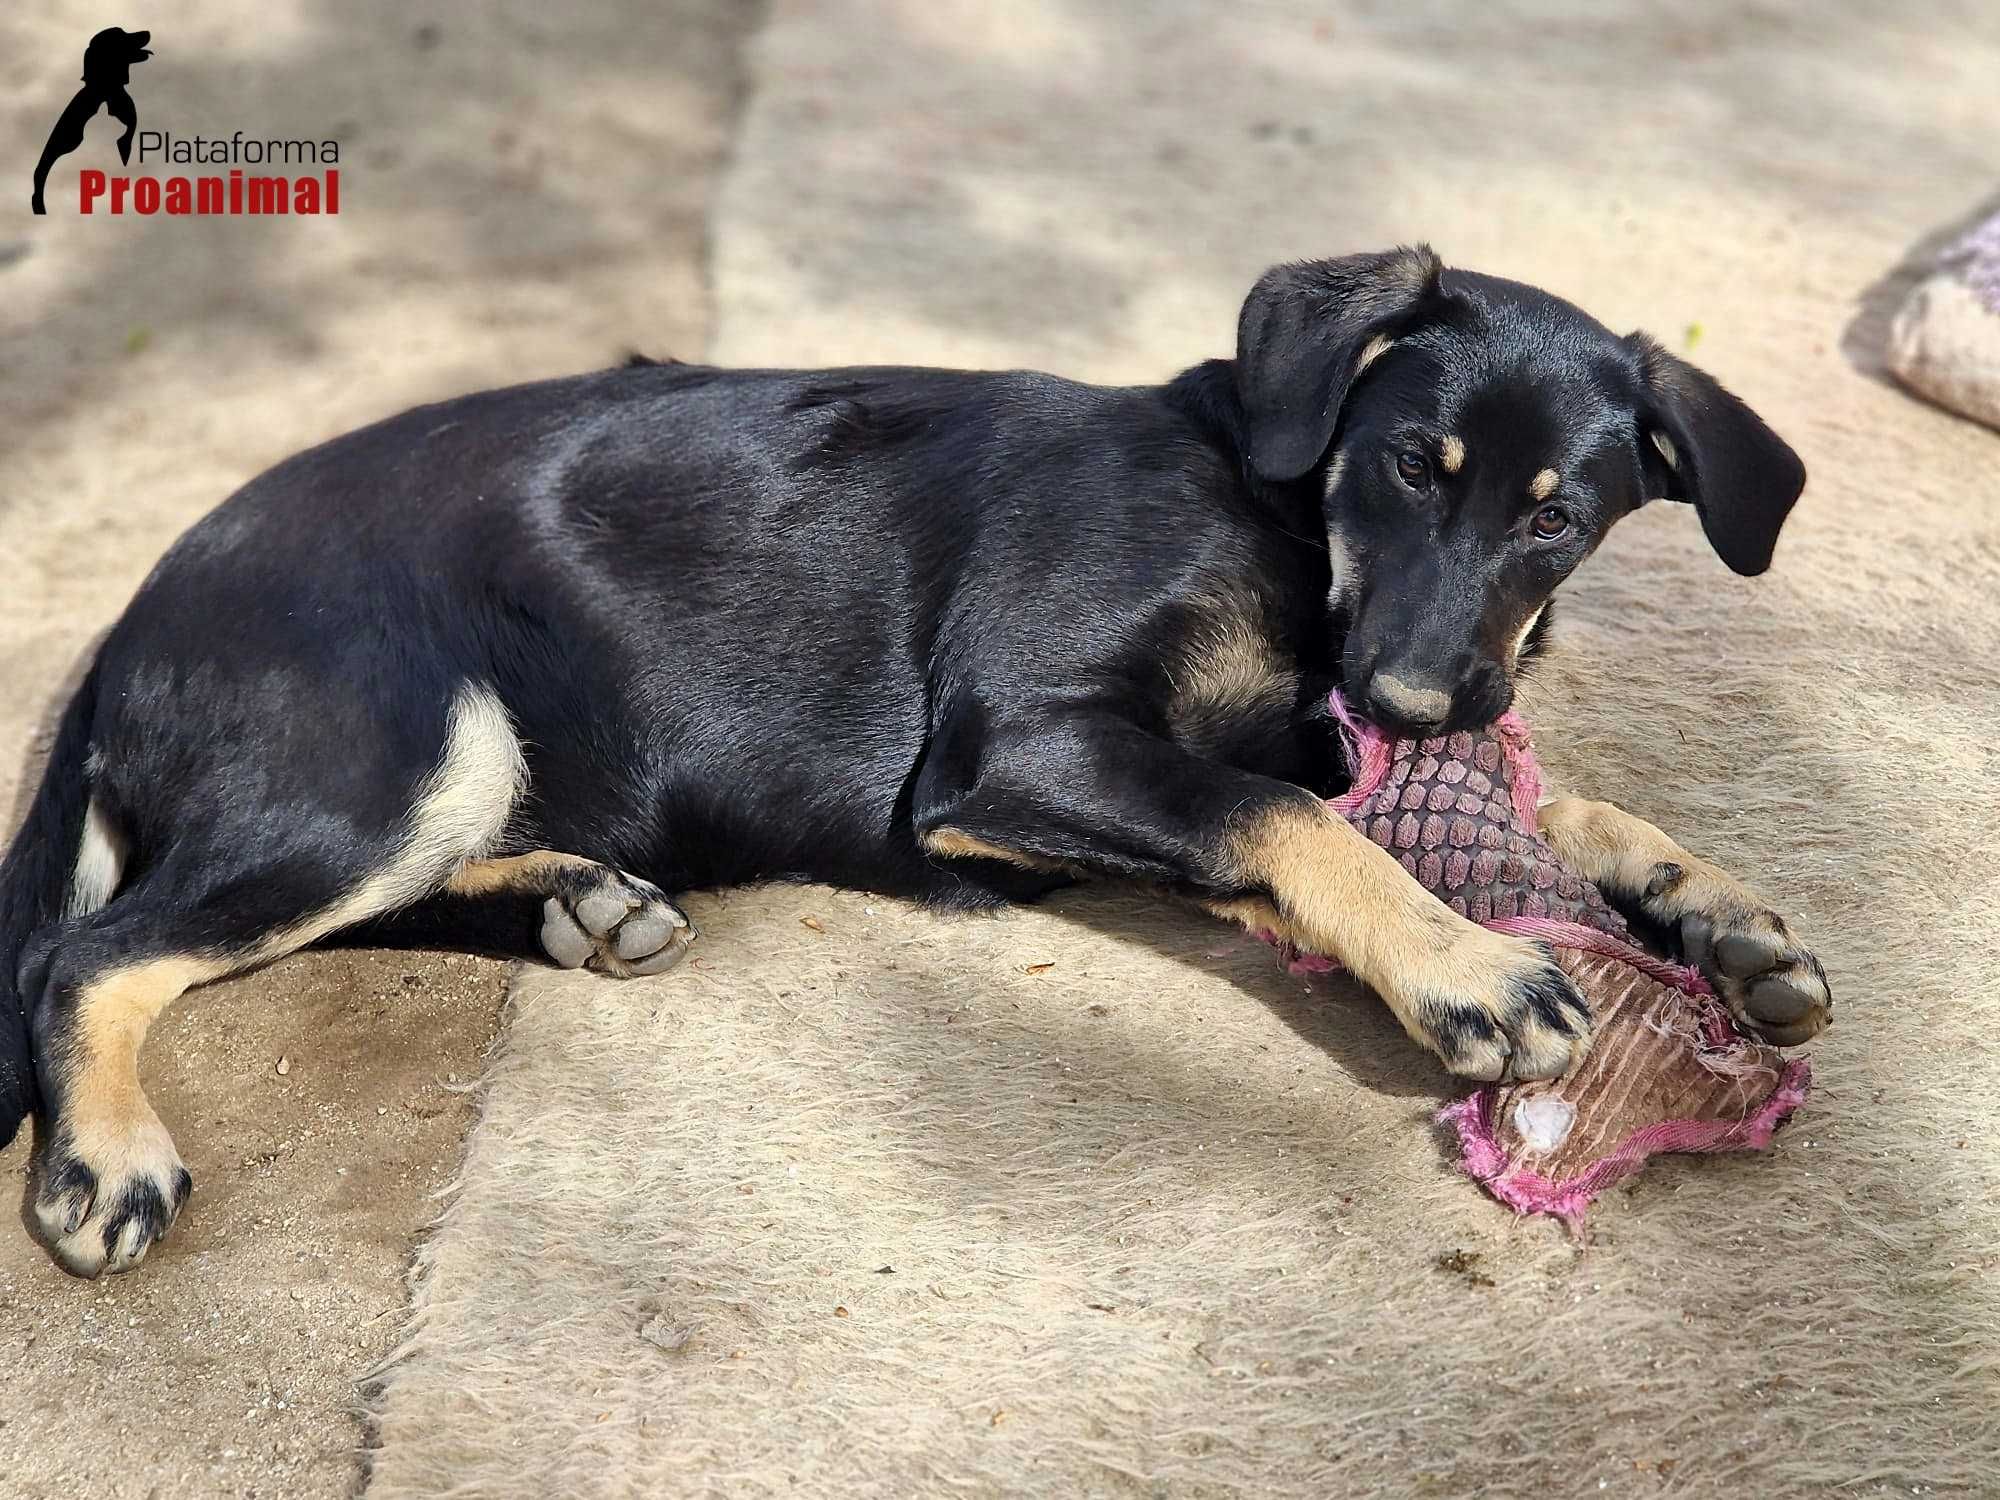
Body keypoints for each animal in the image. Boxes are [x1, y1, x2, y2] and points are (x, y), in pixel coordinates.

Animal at [0, 250, 1832, 1280]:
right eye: (1403, 464)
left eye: (1556, 522)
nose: (1422, 700)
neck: (1280, 516)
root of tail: (139, 611)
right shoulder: (1014, 746)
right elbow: (1295, 816)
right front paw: (1475, 967)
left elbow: (1517, 804)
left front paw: (1721, 911)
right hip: (392, 750)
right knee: (93, 956)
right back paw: (106, 1158)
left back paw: (583, 902)